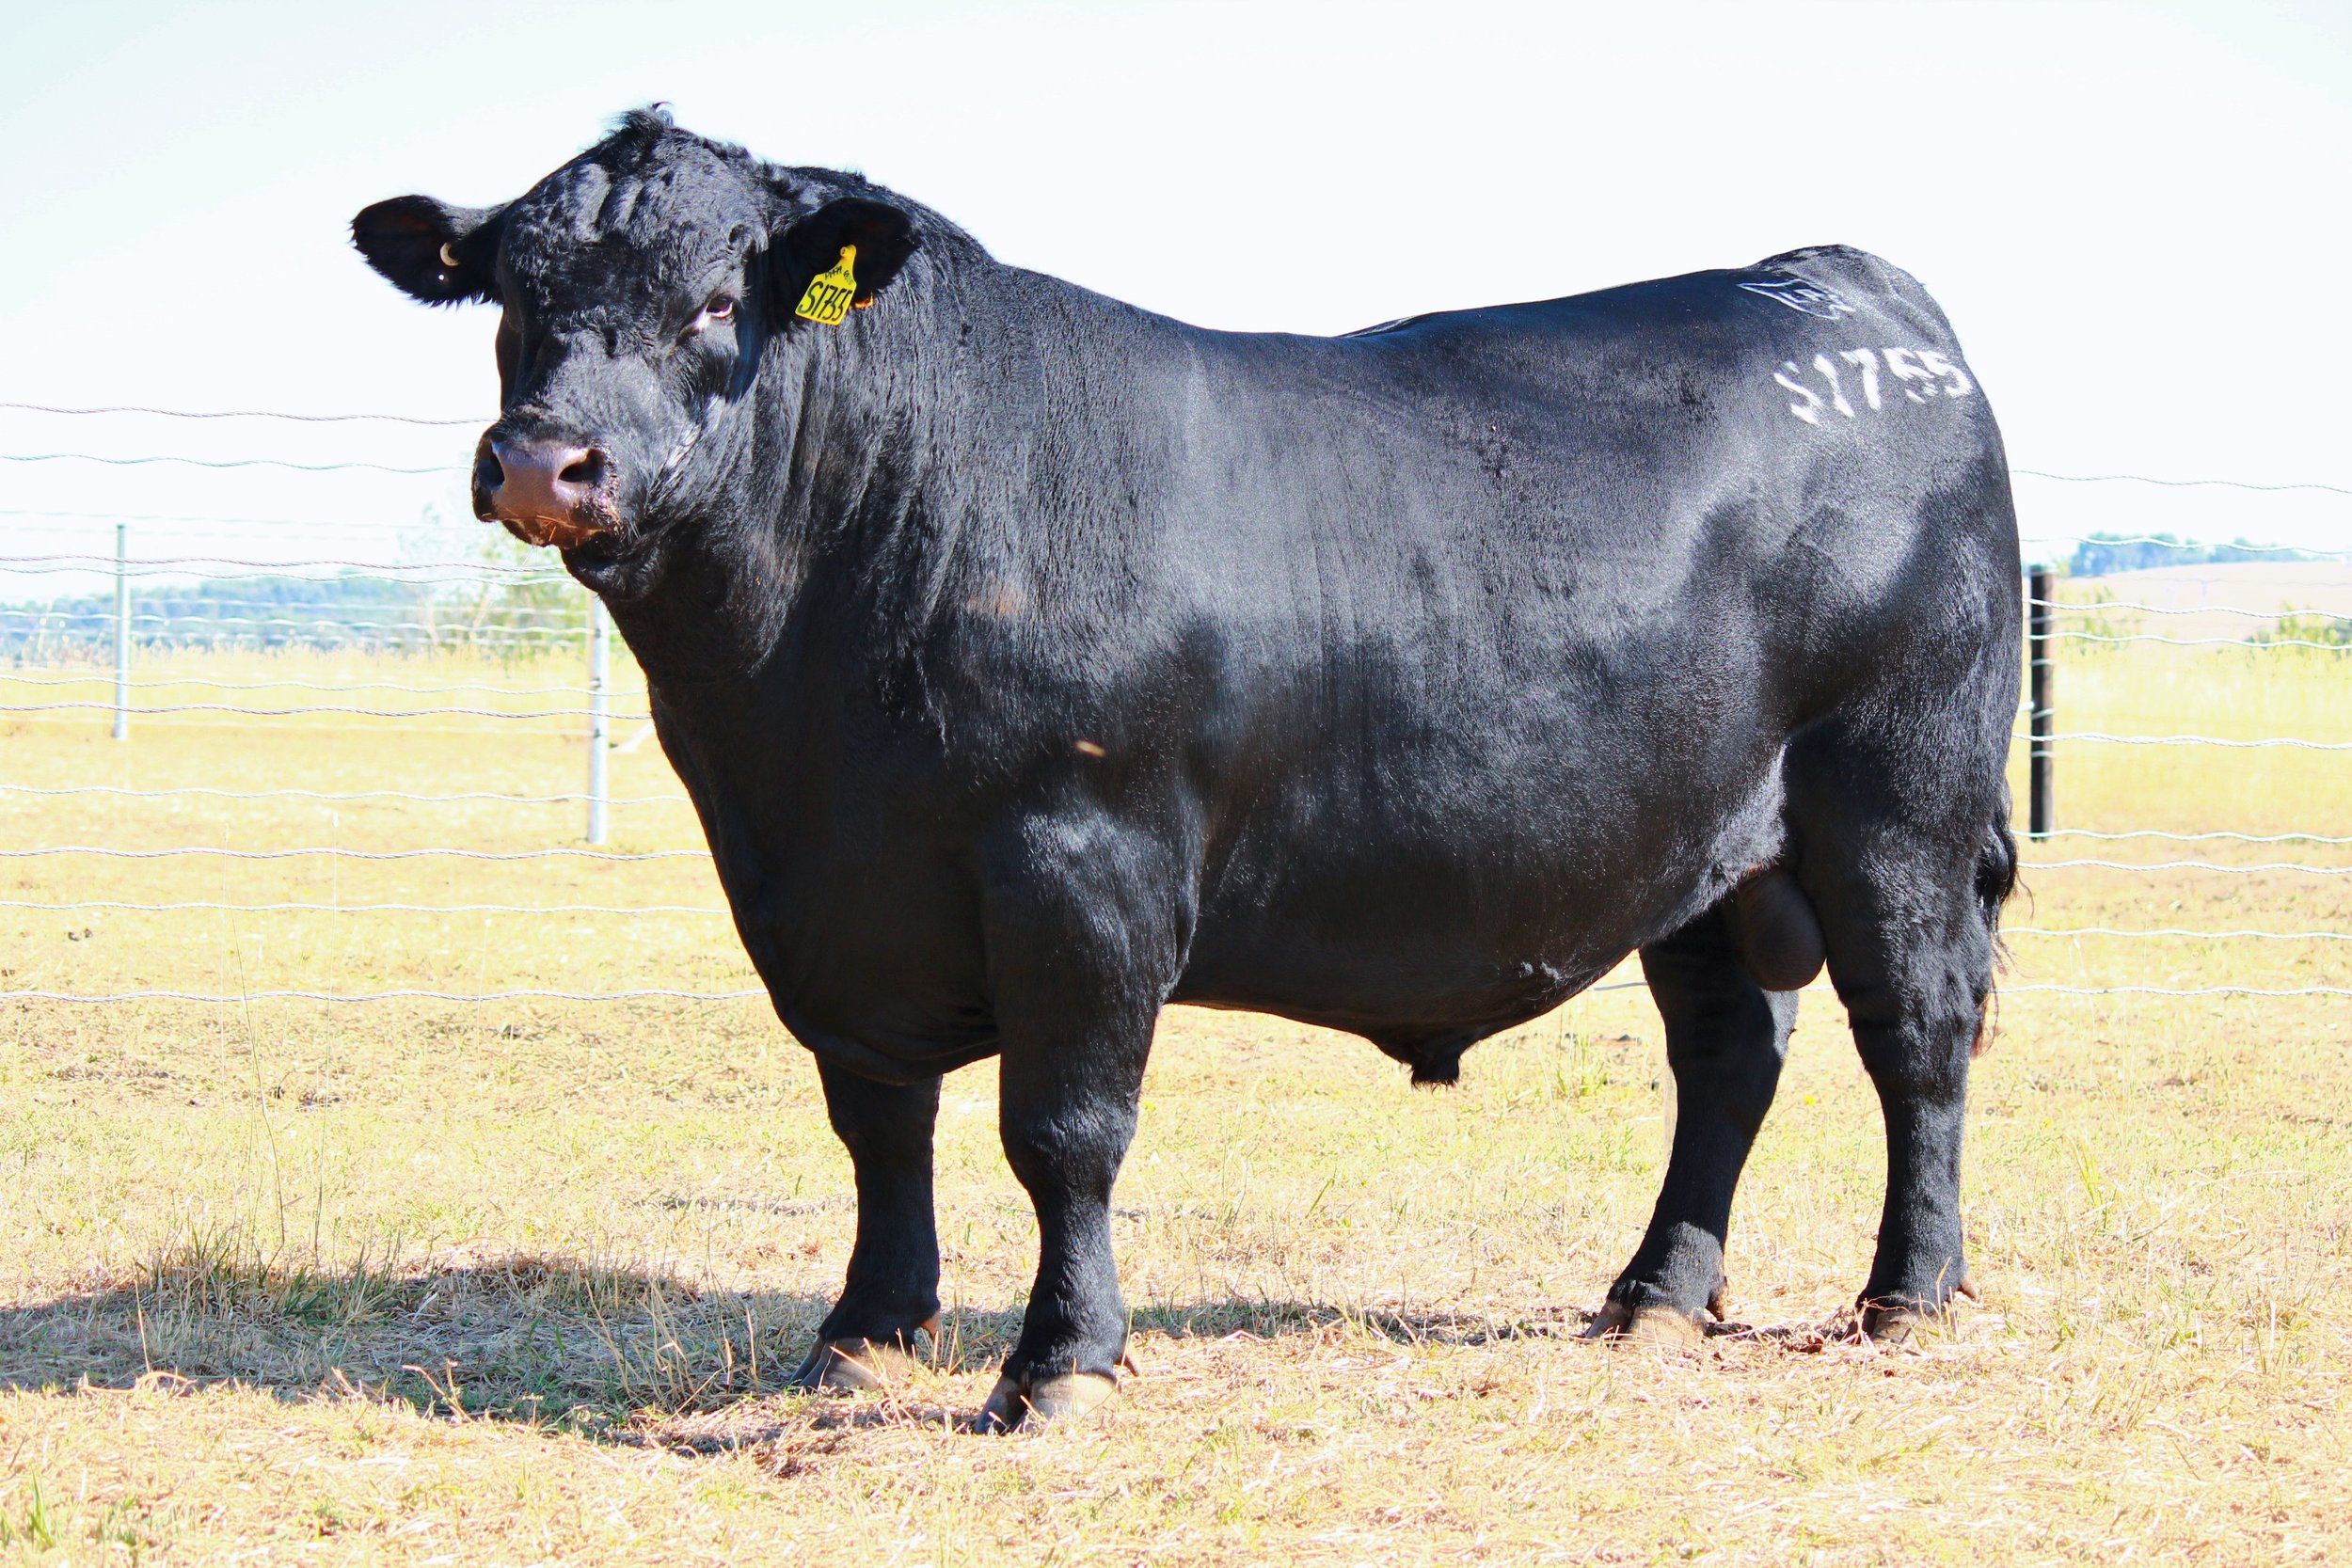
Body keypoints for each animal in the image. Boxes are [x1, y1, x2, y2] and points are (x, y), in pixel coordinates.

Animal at [352, 108, 2019, 1430]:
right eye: (513, 298)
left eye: (713, 300)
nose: (545, 460)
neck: (796, 709)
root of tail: (1845, 287)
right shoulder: (833, 895)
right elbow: (879, 1119)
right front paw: (865, 1335)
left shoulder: (1081, 862)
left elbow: (1062, 1130)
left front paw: (1059, 1362)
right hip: (1699, 847)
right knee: (1731, 1051)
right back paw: (1657, 1294)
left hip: (1900, 799)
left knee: (1918, 1033)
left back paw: (1907, 1290)